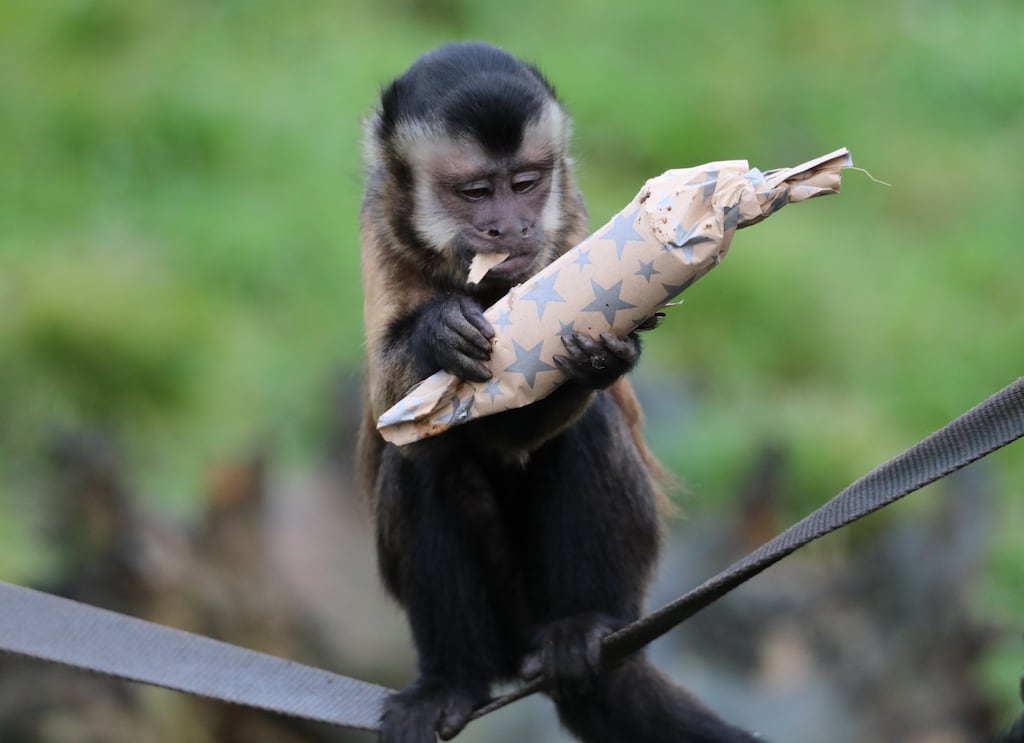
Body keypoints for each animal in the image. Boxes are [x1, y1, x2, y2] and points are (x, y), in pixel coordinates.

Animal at [357, 42, 763, 743]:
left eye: (525, 184)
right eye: (476, 193)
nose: (510, 228)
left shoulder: (570, 225)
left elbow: (521, 428)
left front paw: (599, 360)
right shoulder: (379, 229)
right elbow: (399, 411)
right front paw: (438, 334)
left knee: (583, 430)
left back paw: (581, 627)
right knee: (428, 458)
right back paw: (452, 680)